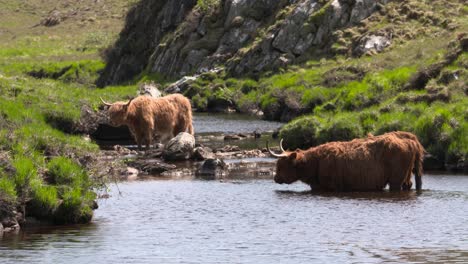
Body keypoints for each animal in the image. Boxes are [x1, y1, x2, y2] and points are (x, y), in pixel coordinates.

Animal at [266, 132, 424, 192]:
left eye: (282, 165)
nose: (275, 178)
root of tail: (411, 139)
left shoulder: (331, 186)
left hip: (396, 180)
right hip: (407, 176)